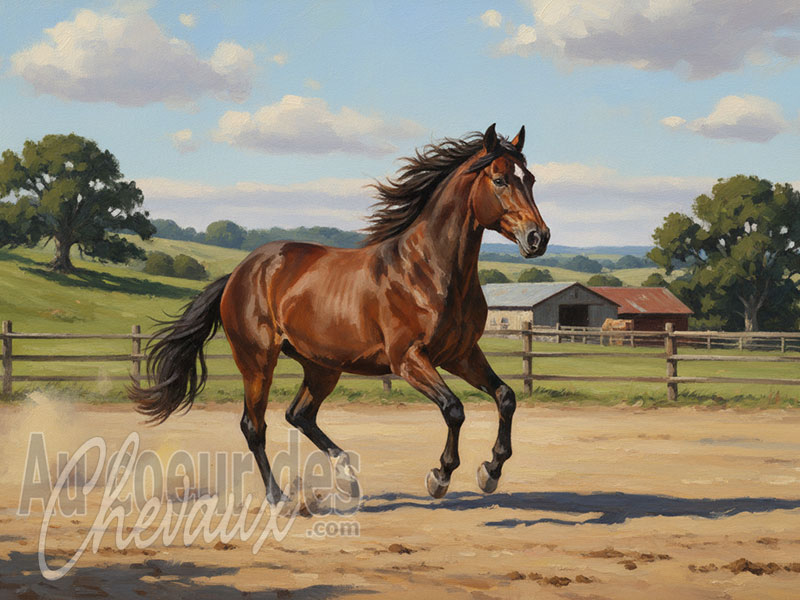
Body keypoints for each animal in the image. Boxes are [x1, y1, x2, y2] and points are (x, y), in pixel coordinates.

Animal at [129, 124, 549, 504]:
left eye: (529, 178)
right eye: (499, 179)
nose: (538, 237)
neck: (430, 270)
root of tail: (239, 273)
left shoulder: (460, 354)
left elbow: (506, 396)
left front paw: (490, 471)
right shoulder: (408, 359)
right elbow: (454, 409)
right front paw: (440, 476)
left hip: (322, 366)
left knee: (299, 414)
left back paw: (347, 477)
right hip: (257, 362)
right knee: (254, 425)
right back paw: (278, 497)